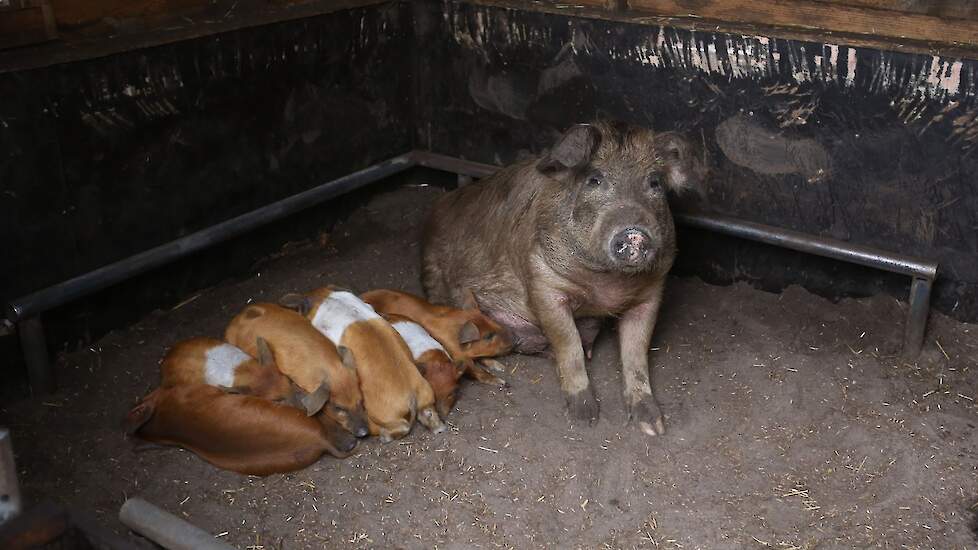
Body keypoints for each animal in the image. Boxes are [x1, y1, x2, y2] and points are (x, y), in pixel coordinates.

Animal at [424, 119, 696, 436]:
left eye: (654, 183)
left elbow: (636, 353)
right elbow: (569, 345)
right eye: (594, 180)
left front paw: (653, 427)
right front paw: (585, 419)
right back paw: (498, 370)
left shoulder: (652, 291)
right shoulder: (543, 282)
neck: (606, 285)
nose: (634, 233)